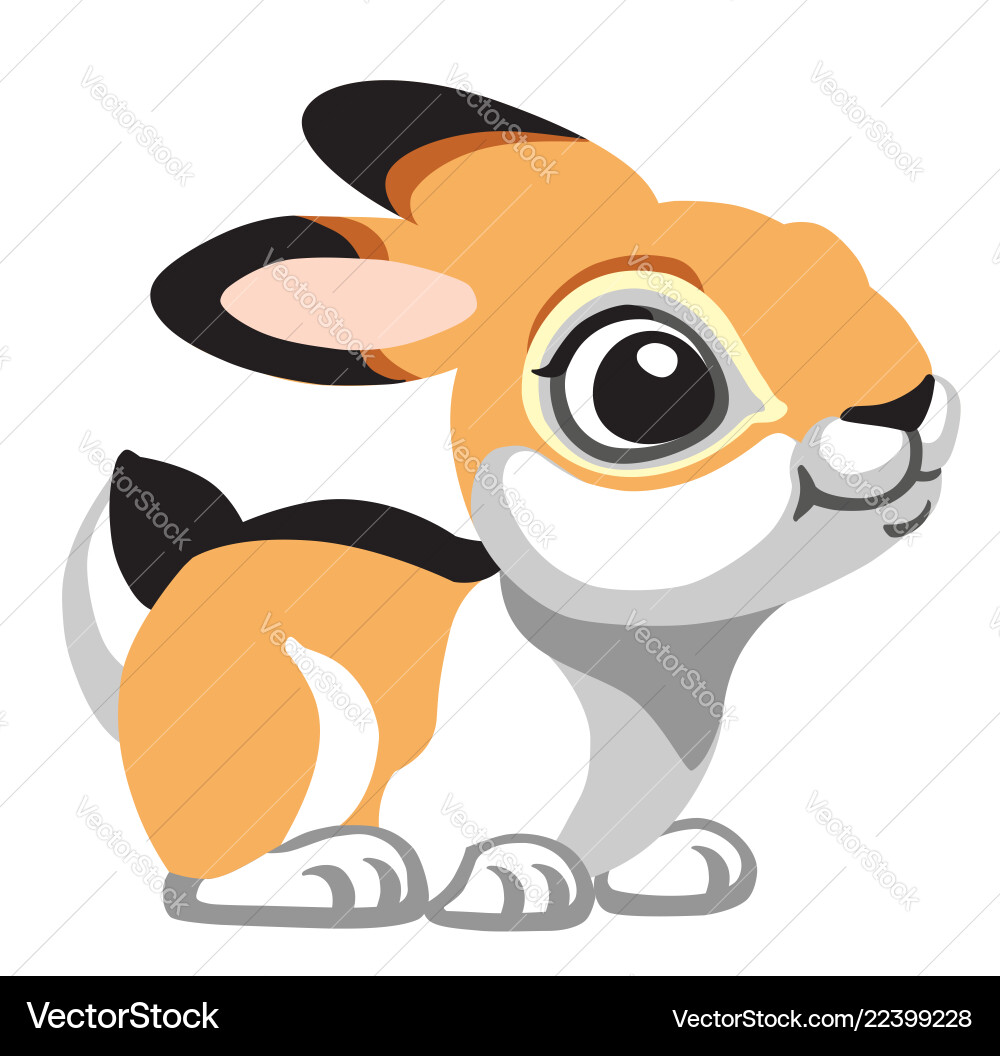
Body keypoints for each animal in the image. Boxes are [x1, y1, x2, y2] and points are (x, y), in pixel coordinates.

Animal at [64, 80, 959, 931]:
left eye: (831, 256)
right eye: (649, 380)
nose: (906, 402)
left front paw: (684, 862)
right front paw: (518, 881)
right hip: (294, 735)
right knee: (200, 876)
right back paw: (340, 874)